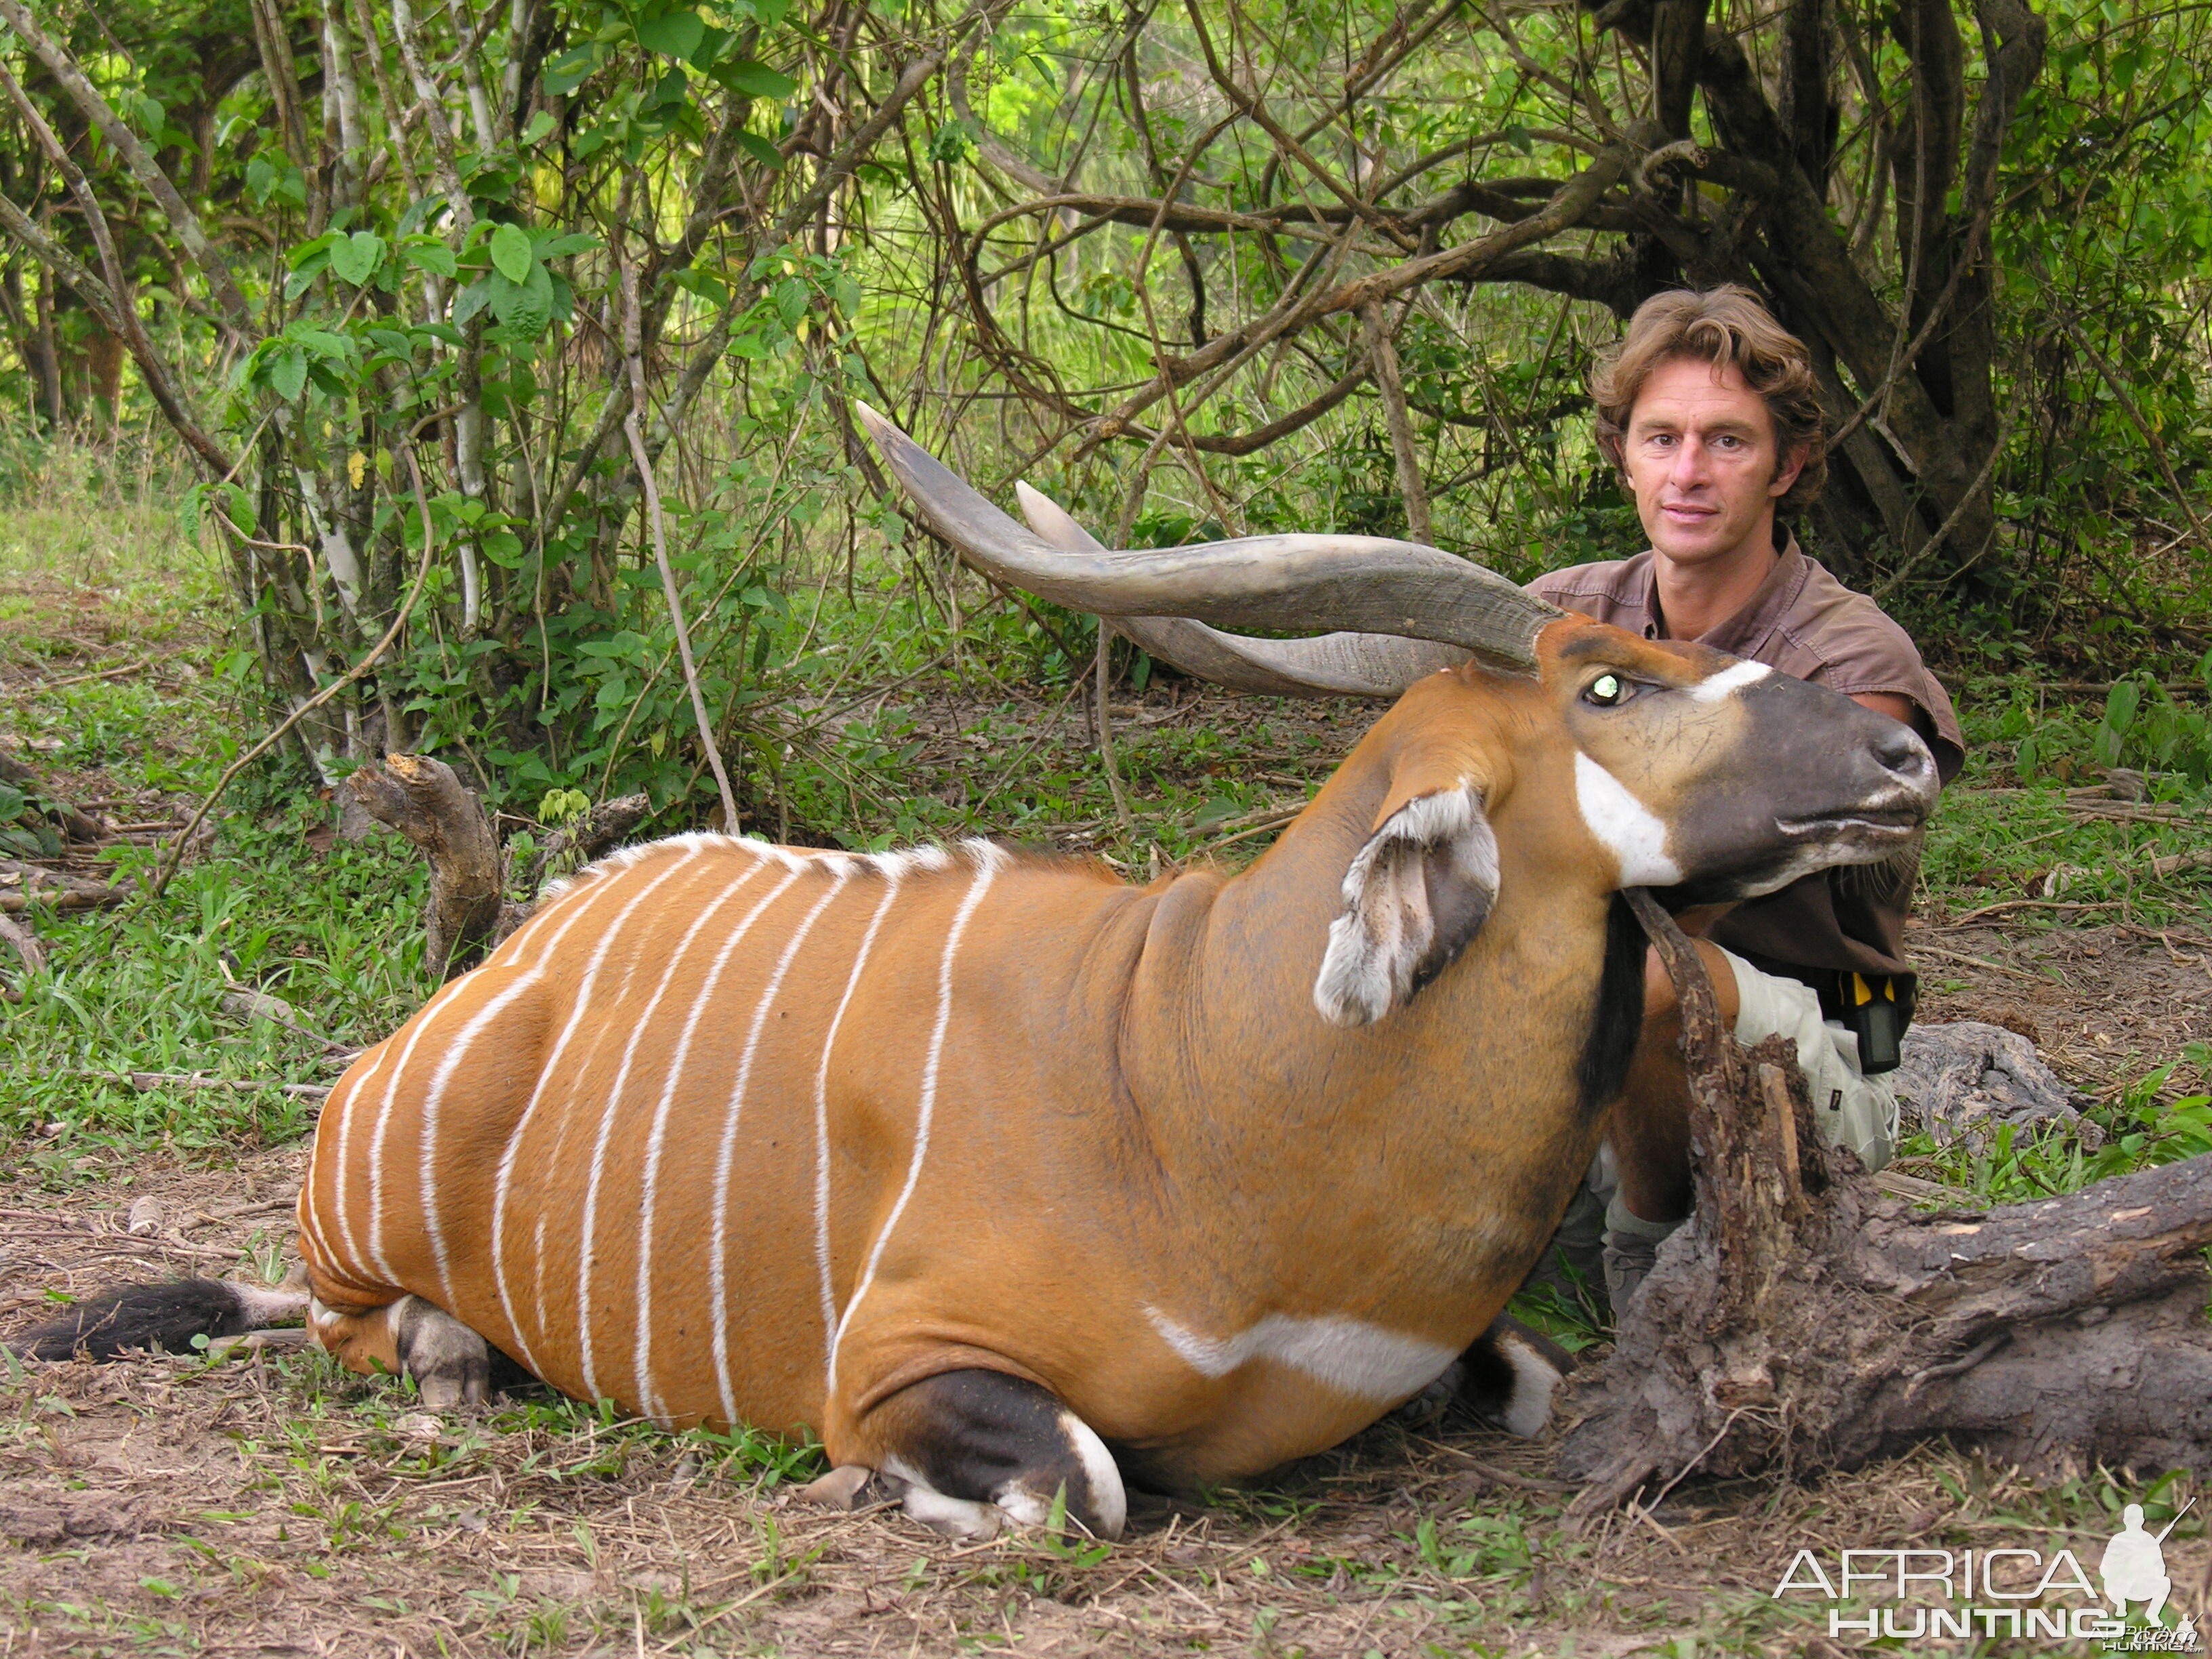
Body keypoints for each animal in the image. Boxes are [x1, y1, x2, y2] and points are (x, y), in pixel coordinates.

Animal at [8, 413, 1929, 1548]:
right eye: (1608, 682)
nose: (1903, 747)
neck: (1197, 1078)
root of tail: (485, 985)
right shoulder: (901, 1366)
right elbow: (1078, 1486)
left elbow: (1530, 1381)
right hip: (362, 1231)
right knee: (355, 1319)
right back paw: (447, 1358)